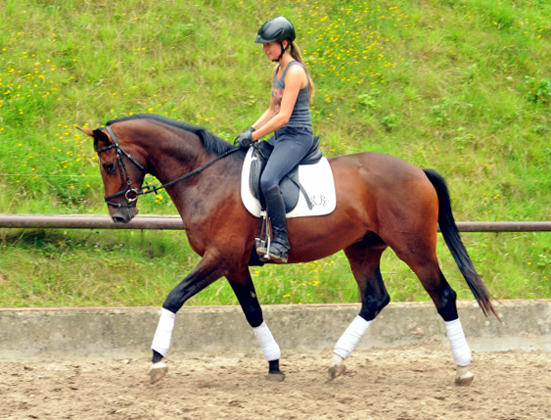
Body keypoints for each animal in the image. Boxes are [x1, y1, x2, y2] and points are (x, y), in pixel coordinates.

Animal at [80, 114, 498, 388]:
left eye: (107, 164)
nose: (119, 214)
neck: (206, 177)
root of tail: (417, 170)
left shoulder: (219, 257)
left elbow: (173, 298)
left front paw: (156, 361)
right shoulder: (233, 264)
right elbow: (252, 311)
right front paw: (275, 364)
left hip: (414, 248)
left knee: (443, 296)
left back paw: (463, 369)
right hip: (362, 249)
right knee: (374, 299)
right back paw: (336, 361)